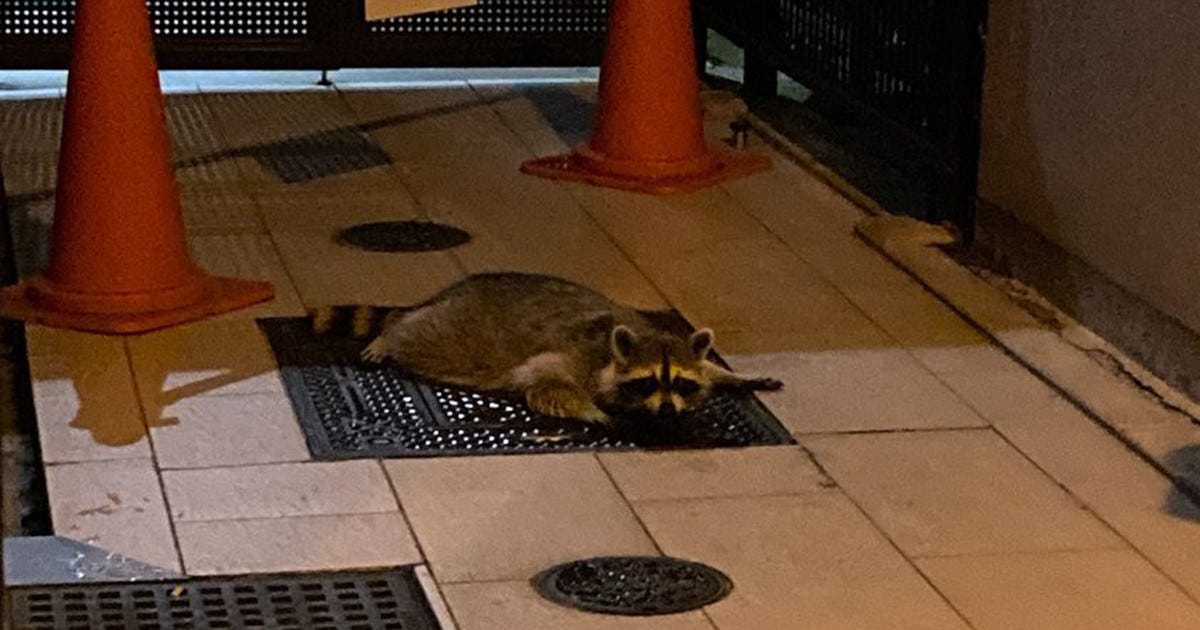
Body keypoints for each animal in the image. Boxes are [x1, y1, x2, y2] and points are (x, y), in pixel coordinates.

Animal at [309, 272, 782, 424]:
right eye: (647, 381)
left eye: (681, 384)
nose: (667, 411)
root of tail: (447, 293)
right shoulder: (576, 357)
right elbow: (543, 379)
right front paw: (594, 411)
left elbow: (711, 369)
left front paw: (734, 376)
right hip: (454, 331)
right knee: (415, 332)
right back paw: (389, 332)